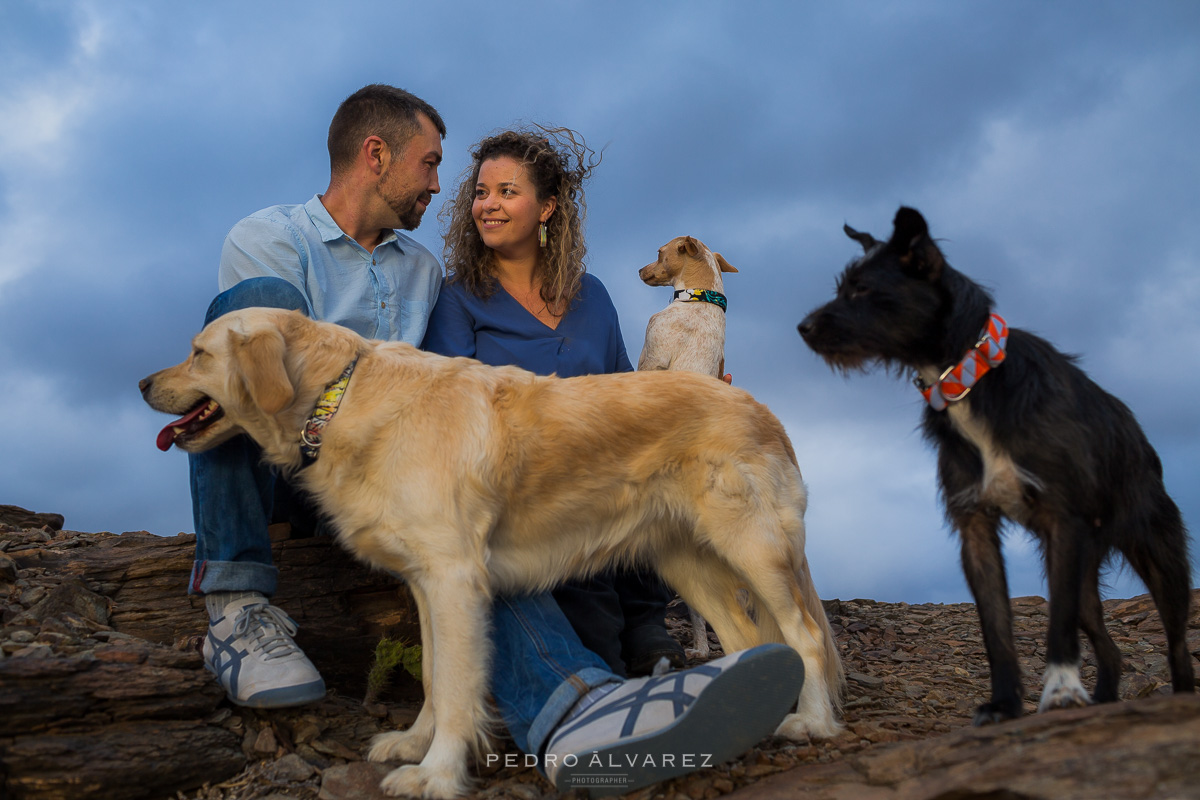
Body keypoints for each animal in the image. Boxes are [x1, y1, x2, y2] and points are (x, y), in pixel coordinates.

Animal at [140, 309, 840, 796]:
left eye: (197, 354)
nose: (144, 381)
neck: (336, 399)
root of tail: (762, 408)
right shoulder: (427, 582)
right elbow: (432, 674)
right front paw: (413, 743)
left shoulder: (456, 578)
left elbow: (456, 685)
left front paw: (436, 773)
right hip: (687, 560)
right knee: (750, 636)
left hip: (752, 543)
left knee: (803, 633)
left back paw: (810, 723)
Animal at [796, 206, 1190, 724]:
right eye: (843, 286)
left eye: (861, 289)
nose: (803, 327)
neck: (968, 379)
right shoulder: (977, 530)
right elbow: (996, 631)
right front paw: (1005, 703)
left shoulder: (1062, 524)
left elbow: (1057, 627)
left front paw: (1059, 691)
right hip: (1084, 573)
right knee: (1109, 646)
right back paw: (1103, 699)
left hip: (1158, 559)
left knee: (1178, 643)